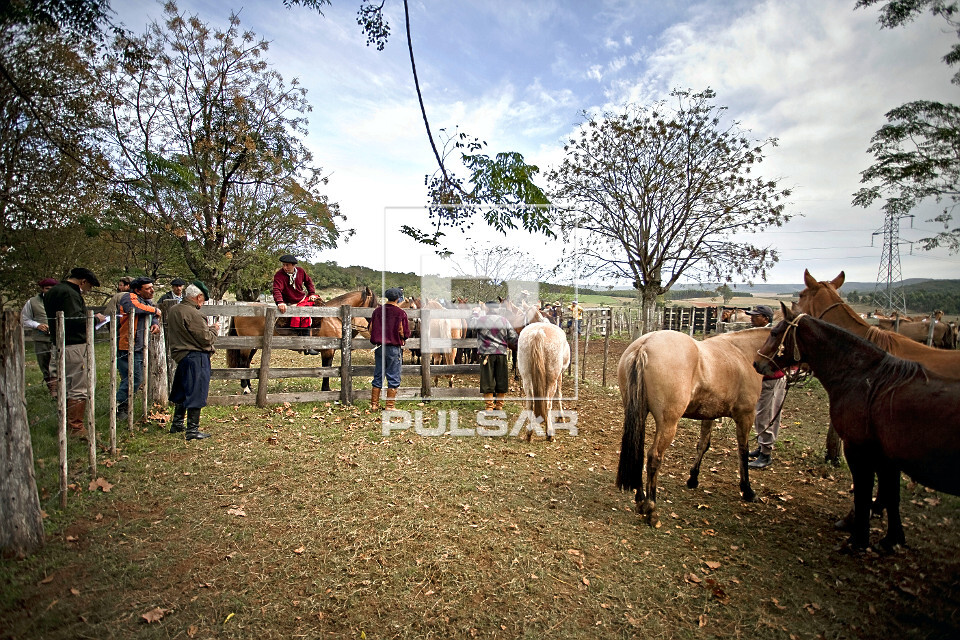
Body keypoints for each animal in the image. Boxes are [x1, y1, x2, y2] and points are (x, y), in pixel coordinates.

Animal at [224, 286, 376, 396]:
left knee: (247, 364)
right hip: (246, 346)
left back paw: (249, 386)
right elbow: (327, 369)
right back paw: (245, 389)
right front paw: (326, 389)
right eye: (374, 303)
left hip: (253, 345)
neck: (333, 316)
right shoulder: (328, 350)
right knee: (243, 363)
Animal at [616, 328, 772, 528]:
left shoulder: (709, 414)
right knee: (654, 457)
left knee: (638, 451)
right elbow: (742, 451)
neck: (742, 353)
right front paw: (747, 490)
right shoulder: (746, 415)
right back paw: (651, 509)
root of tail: (644, 345)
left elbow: (703, 444)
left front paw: (693, 478)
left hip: (638, 414)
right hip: (668, 422)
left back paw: (640, 498)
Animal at [752, 304, 960, 552]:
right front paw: (891, 539)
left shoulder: (858, 447)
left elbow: (864, 491)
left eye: (774, 333)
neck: (862, 376)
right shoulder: (885, 455)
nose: (756, 363)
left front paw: (858, 539)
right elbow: (891, 493)